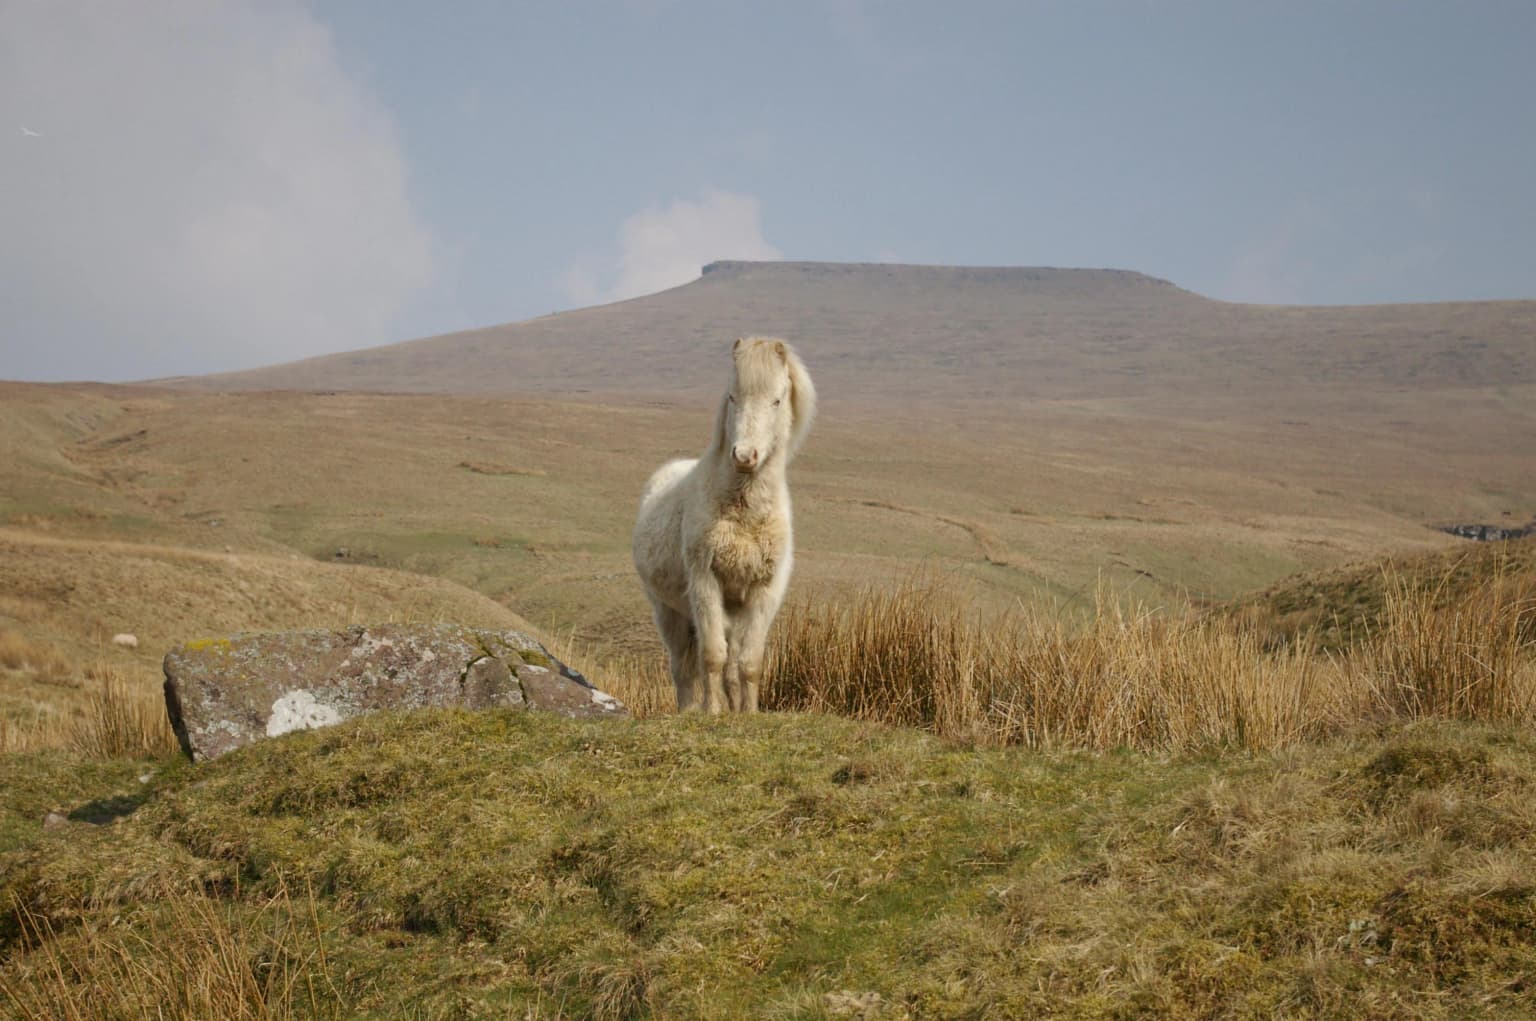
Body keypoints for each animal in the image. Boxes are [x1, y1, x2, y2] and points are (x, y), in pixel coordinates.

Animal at [632, 337, 816, 712]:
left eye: (777, 400)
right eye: (732, 396)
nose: (745, 456)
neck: (744, 515)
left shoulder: (763, 592)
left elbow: (749, 663)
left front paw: (748, 713)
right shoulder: (706, 582)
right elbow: (712, 657)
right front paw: (713, 713)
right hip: (669, 612)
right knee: (682, 668)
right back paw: (688, 710)